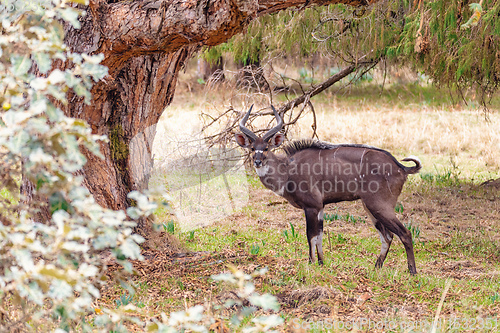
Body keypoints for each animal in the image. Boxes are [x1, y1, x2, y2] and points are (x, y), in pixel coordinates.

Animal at [235, 105, 422, 274]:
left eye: (266, 148)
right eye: (252, 148)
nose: (257, 161)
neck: (287, 170)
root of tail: (402, 168)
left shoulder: (311, 206)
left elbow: (311, 235)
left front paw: (311, 264)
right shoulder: (320, 207)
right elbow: (319, 235)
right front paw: (321, 263)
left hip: (379, 205)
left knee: (405, 233)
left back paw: (412, 271)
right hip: (369, 207)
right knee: (388, 236)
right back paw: (376, 268)